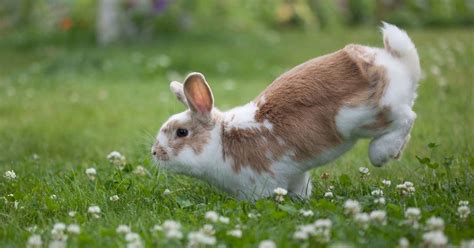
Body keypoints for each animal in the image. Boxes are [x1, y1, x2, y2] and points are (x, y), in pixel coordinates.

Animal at [151, 23, 418, 201]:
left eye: (181, 133)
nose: (154, 153)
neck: (222, 140)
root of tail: (395, 63)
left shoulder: (259, 182)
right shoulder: (295, 175)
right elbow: (300, 189)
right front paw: (303, 202)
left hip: (364, 116)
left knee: (406, 118)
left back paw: (382, 153)